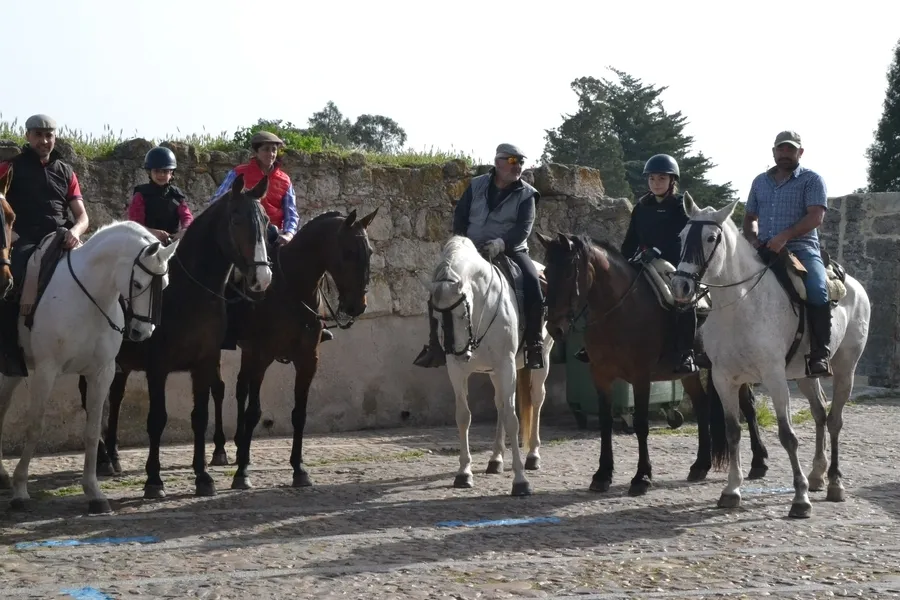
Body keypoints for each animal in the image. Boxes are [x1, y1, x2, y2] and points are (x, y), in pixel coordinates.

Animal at [0, 220, 178, 513]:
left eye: (164, 284)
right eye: (138, 283)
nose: (141, 332)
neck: (90, 298)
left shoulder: (101, 373)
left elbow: (93, 431)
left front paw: (94, 493)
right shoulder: (47, 371)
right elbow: (34, 427)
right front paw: (20, 491)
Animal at [76, 173, 273, 497]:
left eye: (266, 220)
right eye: (236, 219)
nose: (262, 278)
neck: (188, 294)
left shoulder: (204, 363)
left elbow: (200, 416)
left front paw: (203, 476)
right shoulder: (158, 367)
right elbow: (157, 419)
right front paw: (154, 480)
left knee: (114, 397)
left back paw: (114, 456)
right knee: (89, 397)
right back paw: (103, 457)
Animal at [424, 235, 553, 496]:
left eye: (462, 314)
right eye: (437, 317)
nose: (461, 353)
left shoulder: (506, 366)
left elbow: (513, 419)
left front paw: (520, 481)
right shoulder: (457, 371)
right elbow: (463, 416)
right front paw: (464, 472)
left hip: (540, 359)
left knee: (536, 399)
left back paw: (533, 456)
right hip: (496, 373)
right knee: (501, 405)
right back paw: (495, 459)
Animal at [535, 230, 769, 496]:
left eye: (567, 273)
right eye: (546, 273)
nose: (554, 327)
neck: (620, 310)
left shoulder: (641, 377)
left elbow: (641, 424)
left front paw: (642, 477)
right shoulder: (601, 375)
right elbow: (605, 422)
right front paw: (602, 474)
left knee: (748, 406)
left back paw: (759, 462)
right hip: (689, 373)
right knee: (701, 405)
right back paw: (700, 465)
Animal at [671, 195, 870, 519]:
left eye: (711, 237)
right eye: (682, 236)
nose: (681, 286)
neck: (741, 305)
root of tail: (854, 285)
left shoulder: (774, 378)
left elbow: (787, 435)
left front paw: (800, 498)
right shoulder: (724, 378)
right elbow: (732, 431)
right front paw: (731, 490)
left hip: (845, 370)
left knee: (835, 420)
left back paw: (834, 483)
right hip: (805, 375)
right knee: (820, 413)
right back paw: (817, 475)